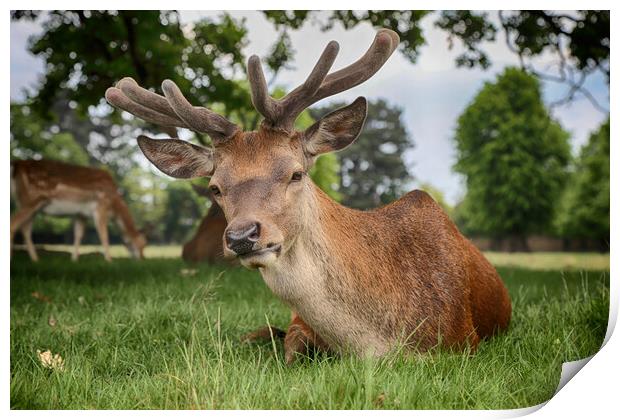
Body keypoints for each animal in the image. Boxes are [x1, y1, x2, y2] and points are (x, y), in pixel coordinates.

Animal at [10, 159, 147, 260]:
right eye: (143, 244)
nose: (142, 258)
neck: (114, 205)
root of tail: (17, 164)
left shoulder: (81, 213)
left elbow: (78, 234)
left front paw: (74, 259)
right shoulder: (101, 206)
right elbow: (103, 234)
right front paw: (109, 260)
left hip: (29, 203)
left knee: (25, 229)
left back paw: (35, 259)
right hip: (31, 199)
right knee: (14, 224)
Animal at [106, 27, 512, 362]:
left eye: (295, 173)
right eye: (215, 187)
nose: (242, 236)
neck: (378, 342)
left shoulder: (463, 340)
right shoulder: (300, 323)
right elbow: (289, 348)